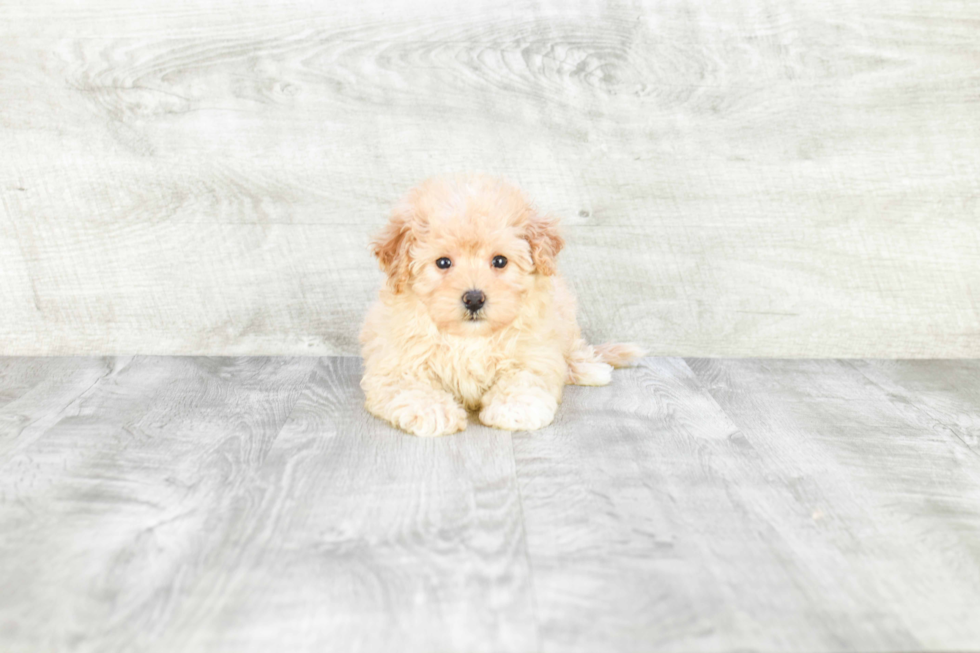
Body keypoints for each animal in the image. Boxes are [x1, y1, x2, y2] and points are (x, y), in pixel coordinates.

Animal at [360, 176, 644, 436]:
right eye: (443, 263)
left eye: (499, 261)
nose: (474, 299)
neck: (469, 339)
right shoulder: (396, 364)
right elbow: (411, 387)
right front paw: (434, 411)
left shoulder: (534, 351)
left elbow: (523, 379)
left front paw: (515, 408)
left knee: (574, 348)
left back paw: (589, 368)